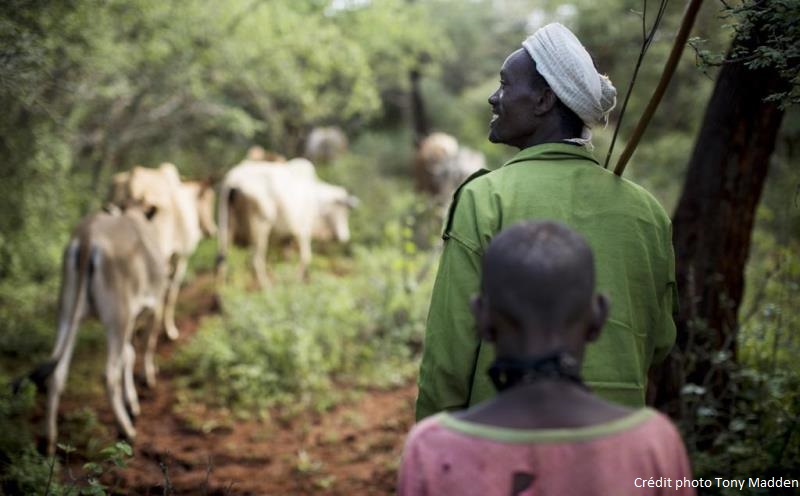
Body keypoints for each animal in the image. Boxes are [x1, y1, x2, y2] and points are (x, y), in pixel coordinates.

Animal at [41, 207, 167, 456]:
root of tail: (88, 235)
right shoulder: (153, 306)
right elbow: (145, 345)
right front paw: (145, 383)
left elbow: (129, 354)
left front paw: (132, 401)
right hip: (118, 315)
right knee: (109, 373)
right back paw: (126, 429)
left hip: (68, 314)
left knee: (57, 372)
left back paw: (49, 441)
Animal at [217, 155, 358, 286]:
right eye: (344, 211)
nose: (344, 236)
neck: (317, 201)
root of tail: (234, 180)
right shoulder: (303, 231)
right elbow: (306, 257)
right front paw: (296, 281)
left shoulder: (287, 238)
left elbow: (286, 259)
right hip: (260, 225)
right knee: (255, 260)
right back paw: (265, 285)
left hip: (225, 223)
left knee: (222, 258)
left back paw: (222, 286)